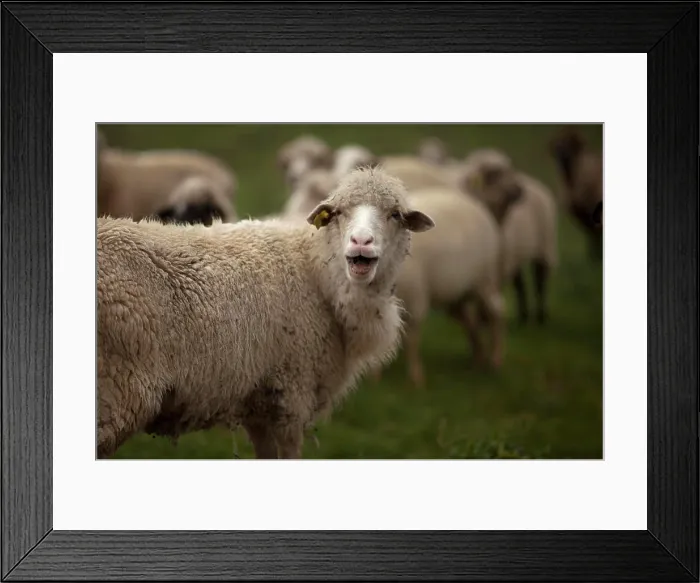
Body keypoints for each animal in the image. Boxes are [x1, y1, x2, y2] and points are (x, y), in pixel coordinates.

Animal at [97, 167, 435, 459]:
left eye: (395, 215)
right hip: (115, 393)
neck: (316, 270)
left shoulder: (259, 402)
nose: (361, 242)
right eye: (338, 213)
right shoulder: (291, 394)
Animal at [462, 148, 558, 324]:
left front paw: (485, 318)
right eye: (494, 173)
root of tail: (531, 179)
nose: (520, 188)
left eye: (509, 168)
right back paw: (523, 316)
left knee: (541, 278)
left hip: (546, 243)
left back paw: (541, 316)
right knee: (520, 283)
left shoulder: (497, 265)